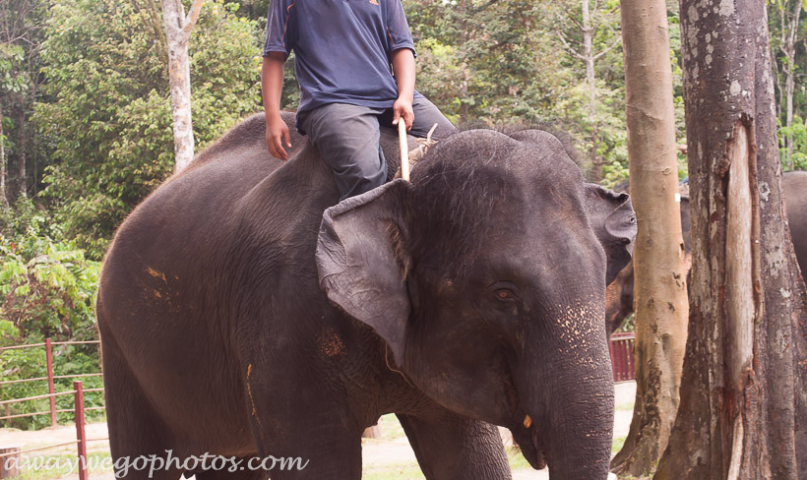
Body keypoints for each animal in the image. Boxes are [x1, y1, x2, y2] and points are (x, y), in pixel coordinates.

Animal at [96, 110, 636, 478]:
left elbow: (467, 455)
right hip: (119, 350)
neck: (403, 171)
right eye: (503, 293)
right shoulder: (281, 318)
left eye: (602, 278)